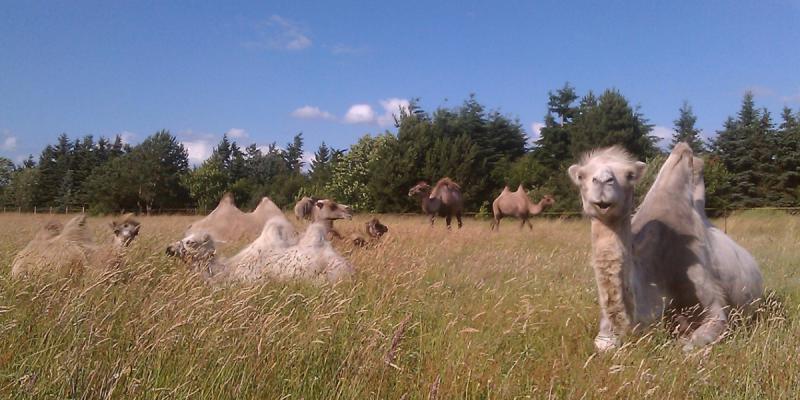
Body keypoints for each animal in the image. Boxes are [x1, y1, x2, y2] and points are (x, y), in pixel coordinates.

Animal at [568, 145, 764, 352]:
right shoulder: (606, 330)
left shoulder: (714, 308)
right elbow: (602, 345)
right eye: (581, 176)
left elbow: (687, 346)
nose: (602, 182)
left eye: (630, 175)